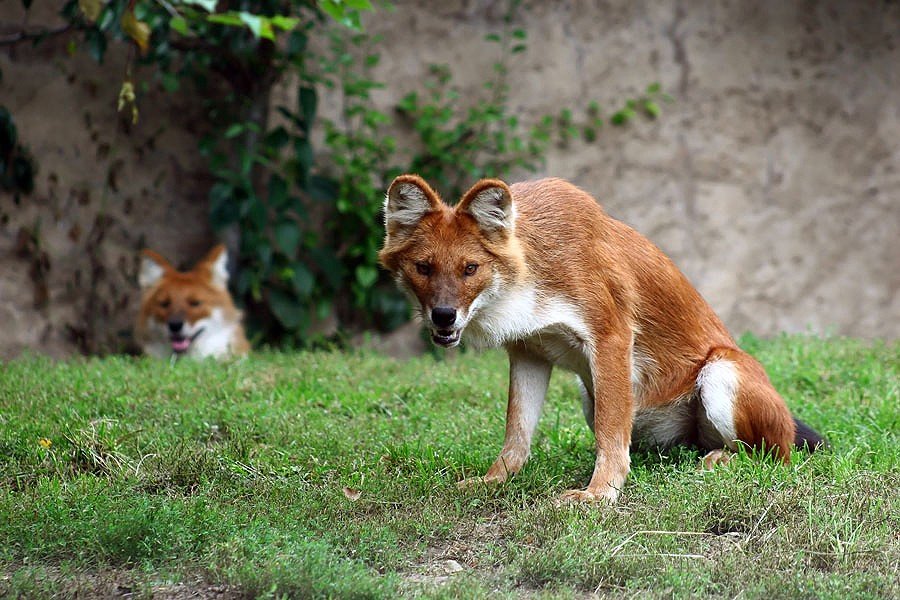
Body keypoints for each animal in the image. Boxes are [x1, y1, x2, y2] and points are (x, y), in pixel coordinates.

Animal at [376, 176, 828, 504]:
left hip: (721, 372)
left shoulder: (610, 337)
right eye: (423, 267)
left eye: (470, 268)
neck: (530, 278)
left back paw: (719, 460)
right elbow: (516, 432)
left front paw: (599, 494)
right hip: (592, 395)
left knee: (772, 455)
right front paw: (493, 481)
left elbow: (611, 435)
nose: (443, 315)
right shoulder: (528, 352)